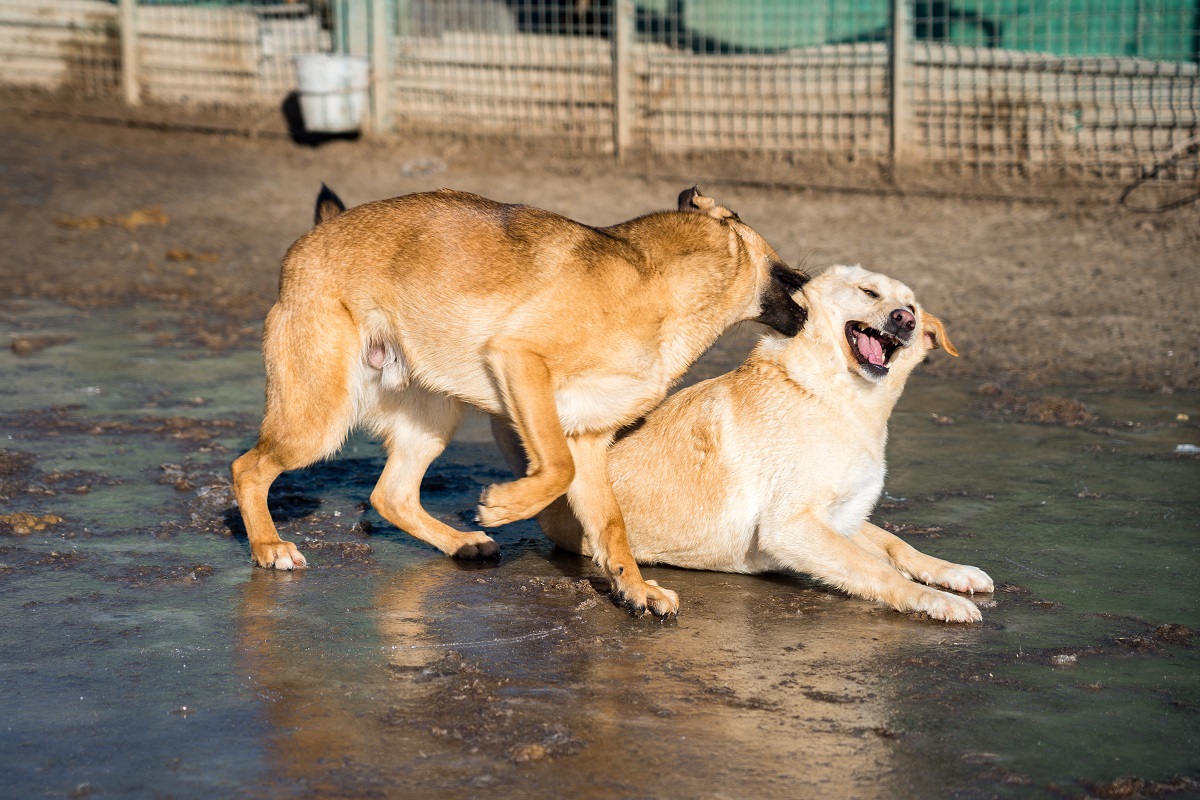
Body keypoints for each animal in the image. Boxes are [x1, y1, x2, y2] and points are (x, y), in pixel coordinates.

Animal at [232, 184, 806, 618]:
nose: (810, 285)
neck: (659, 282)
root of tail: (304, 245)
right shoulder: (522, 363)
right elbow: (554, 468)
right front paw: (505, 505)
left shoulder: (588, 439)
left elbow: (611, 524)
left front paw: (634, 588)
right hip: (318, 421)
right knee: (247, 468)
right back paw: (268, 548)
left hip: (431, 421)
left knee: (390, 496)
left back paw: (460, 543)